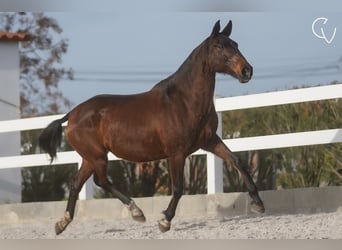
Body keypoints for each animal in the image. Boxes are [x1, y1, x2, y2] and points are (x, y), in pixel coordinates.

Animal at [39, 19, 264, 234]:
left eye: (235, 44)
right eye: (219, 46)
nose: (247, 71)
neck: (185, 101)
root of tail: (72, 114)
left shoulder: (209, 141)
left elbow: (236, 161)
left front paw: (258, 203)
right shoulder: (176, 153)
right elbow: (178, 188)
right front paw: (165, 221)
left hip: (90, 158)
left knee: (77, 184)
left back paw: (62, 223)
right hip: (97, 156)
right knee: (100, 181)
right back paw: (136, 212)